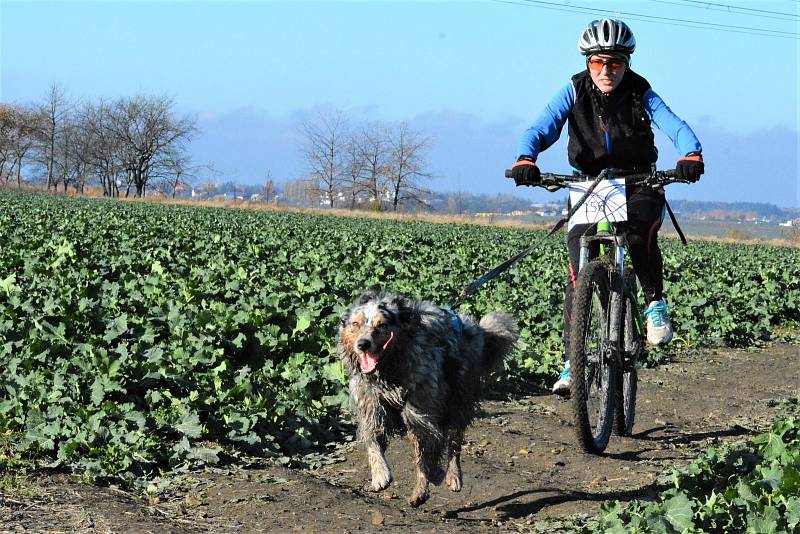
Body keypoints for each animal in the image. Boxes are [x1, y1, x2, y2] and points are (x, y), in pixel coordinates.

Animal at [338, 286, 520, 508]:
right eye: (355, 324)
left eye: (382, 325)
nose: (363, 344)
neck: (388, 371)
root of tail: (473, 326)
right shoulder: (371, 406)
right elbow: (373, 439)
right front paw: (380, 474)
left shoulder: (421, 412)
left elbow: (426, 454)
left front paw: (430, 478)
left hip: (459, 398)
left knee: (454, 443)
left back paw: (451, 477)